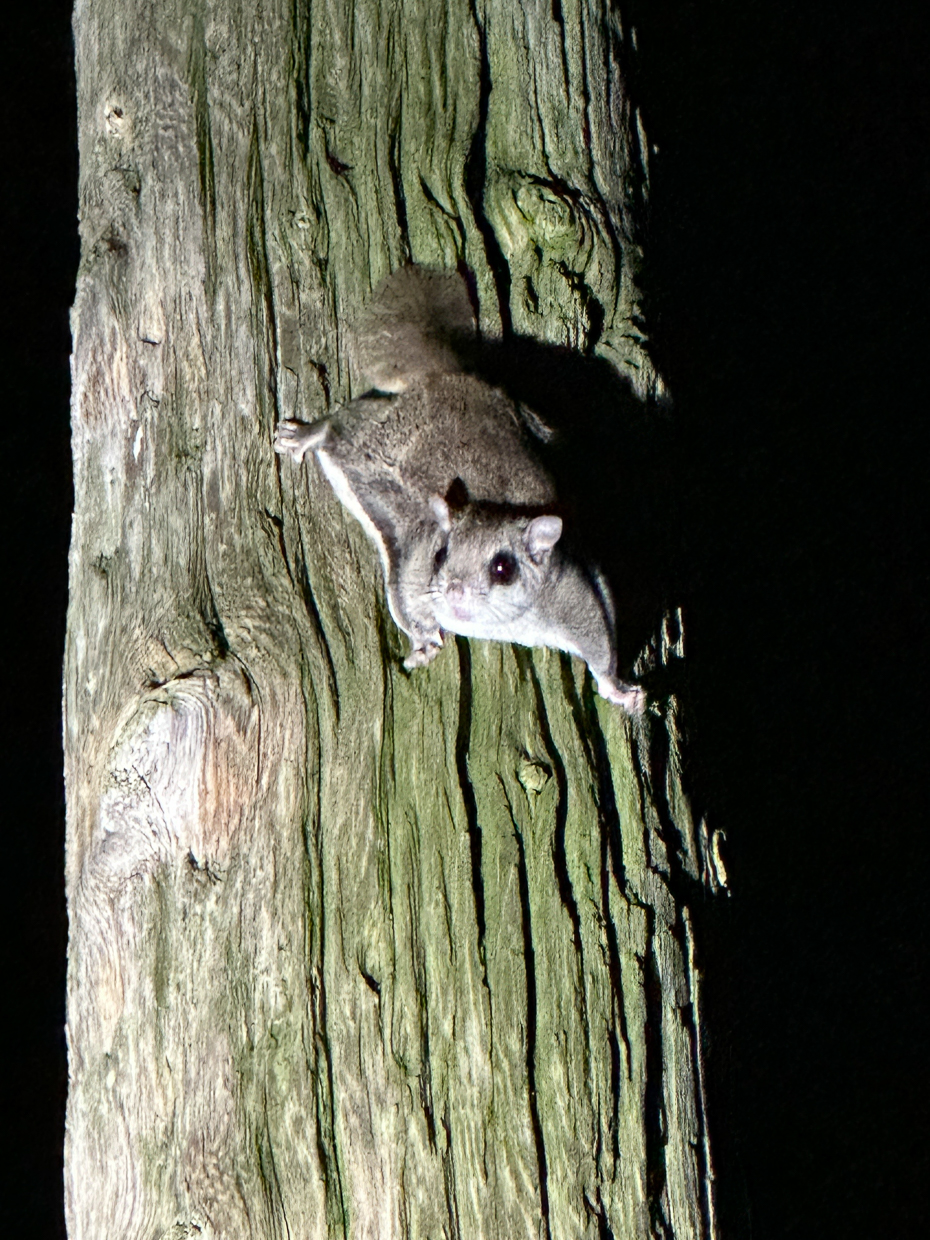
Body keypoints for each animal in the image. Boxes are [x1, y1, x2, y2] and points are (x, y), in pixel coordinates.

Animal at [274, 265, 645, 715]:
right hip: (375, 442)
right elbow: (405, 597)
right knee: (339, 426)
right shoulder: (415, 565)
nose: (453, 591)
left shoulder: (572, 596)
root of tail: (448, 378)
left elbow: (601, 642)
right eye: (442, 554)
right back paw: (305, 434)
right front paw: (424, 643)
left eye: (503, 568)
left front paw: (619, 689)